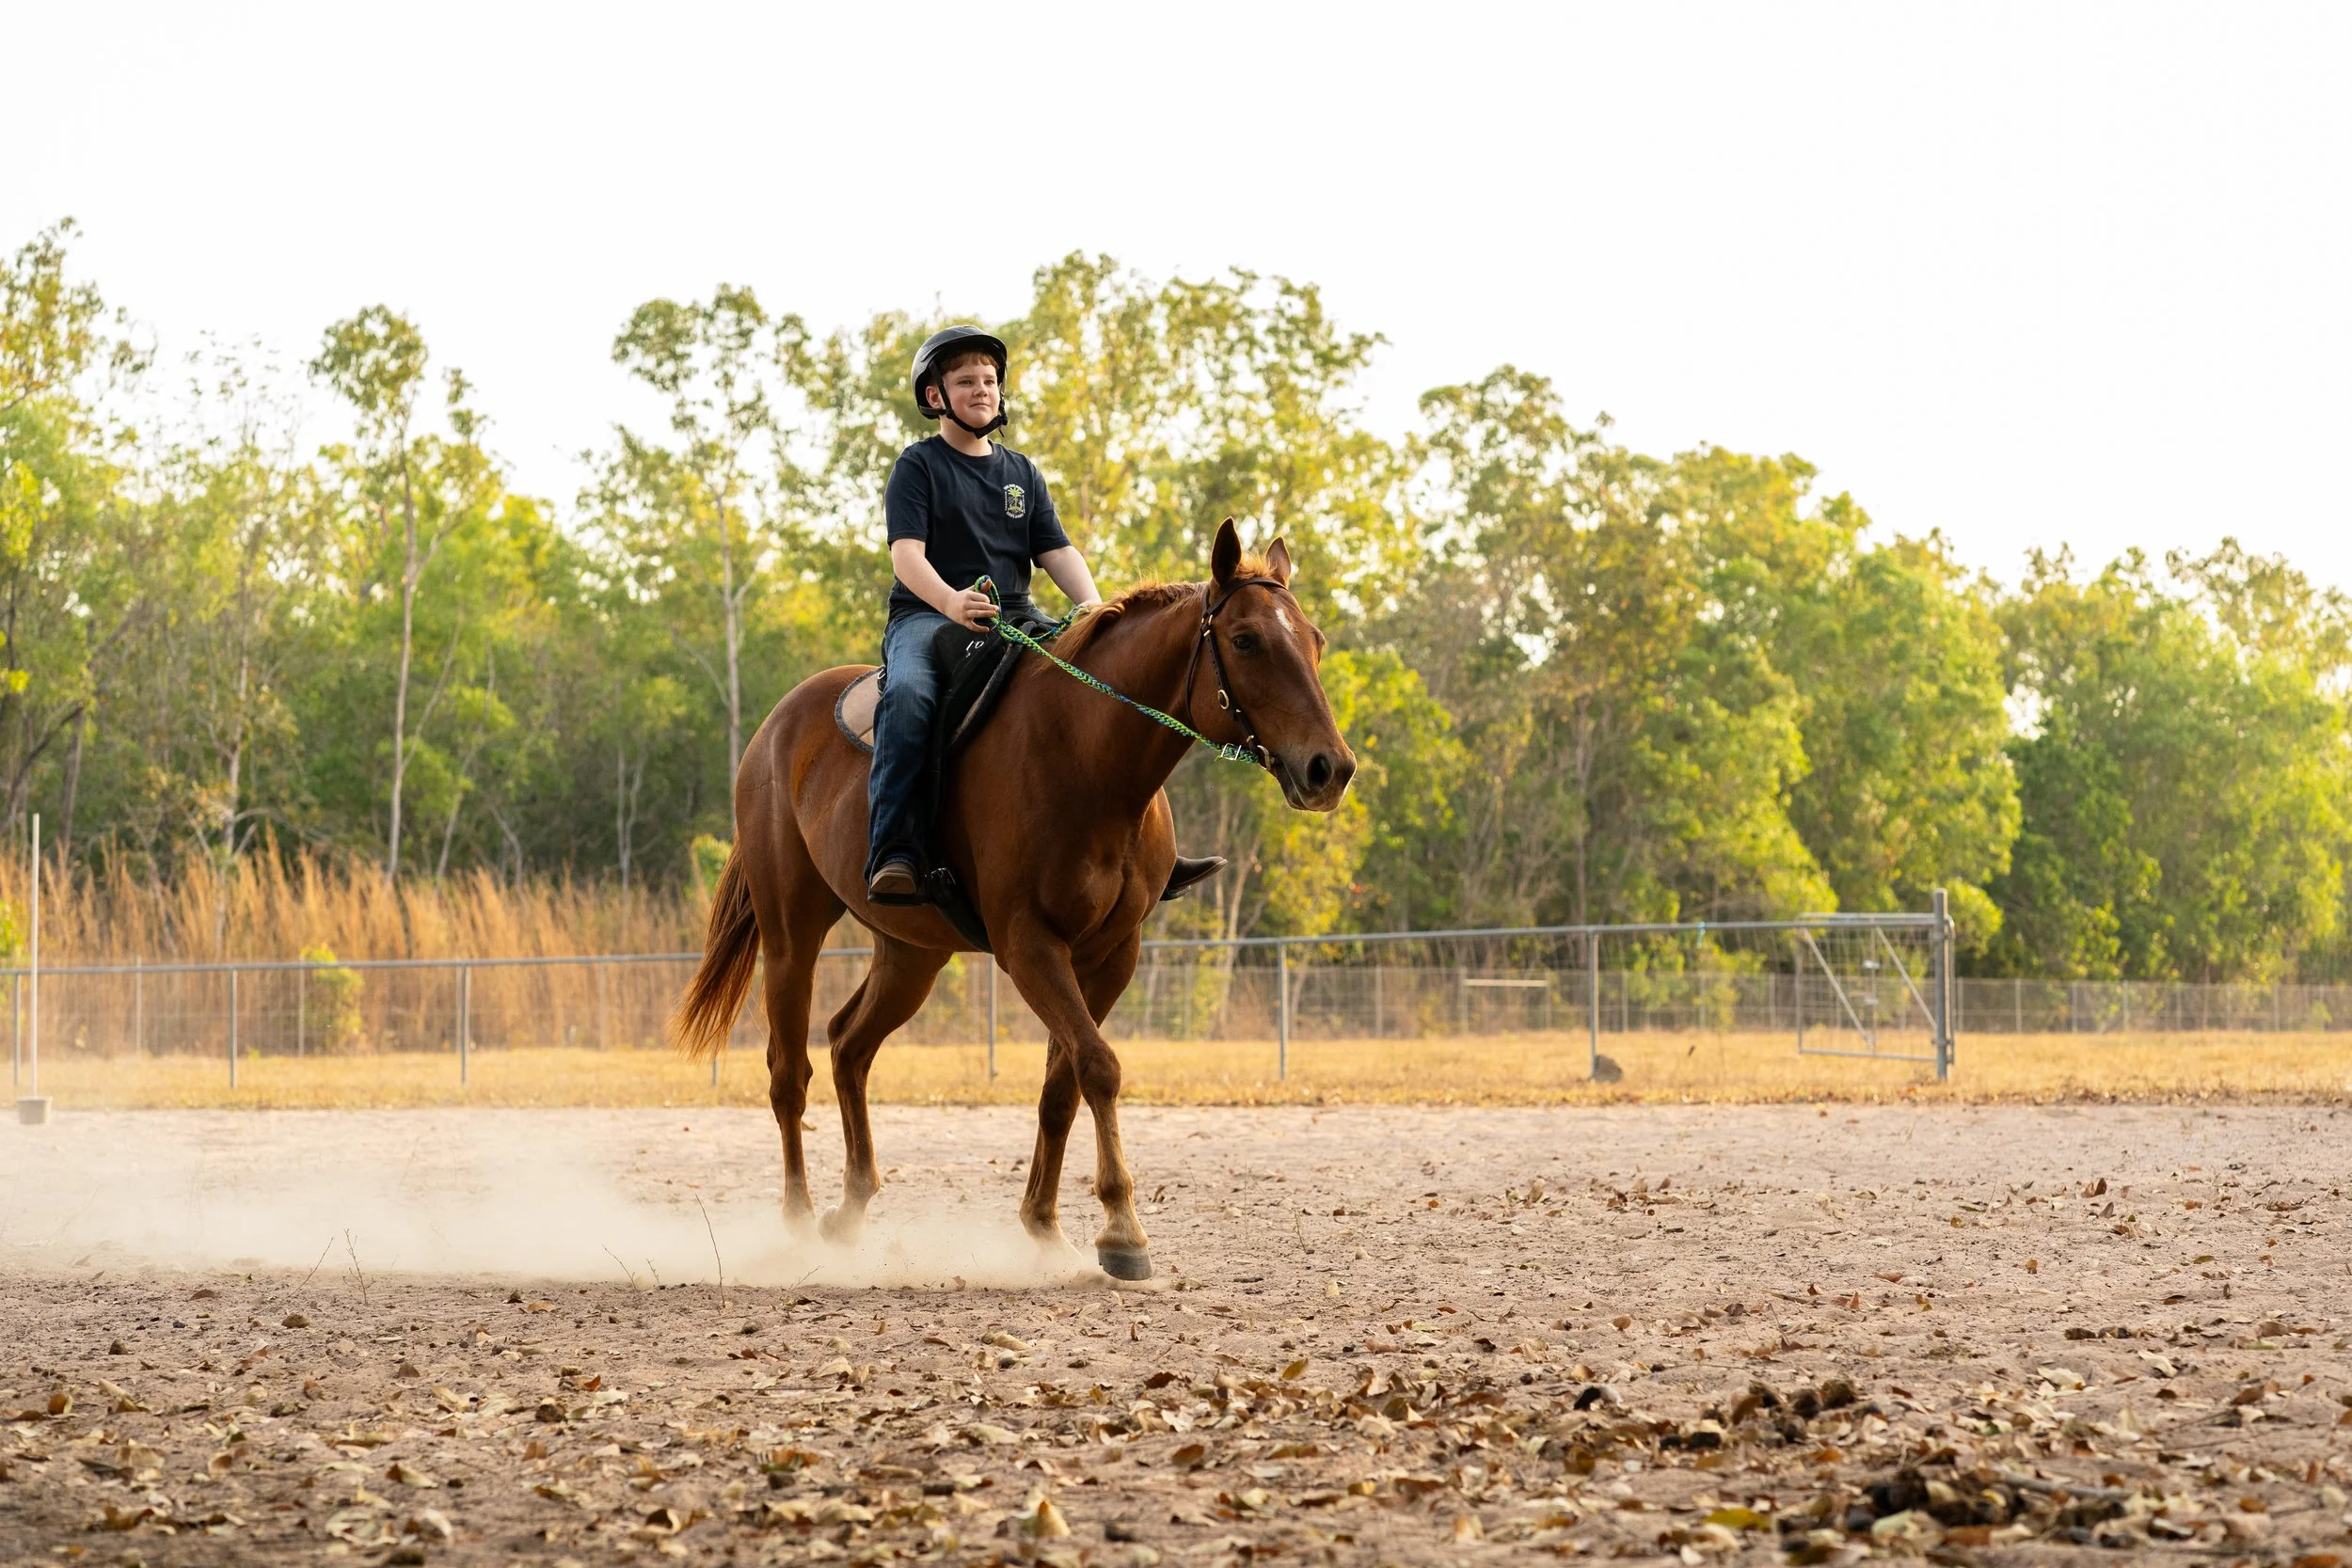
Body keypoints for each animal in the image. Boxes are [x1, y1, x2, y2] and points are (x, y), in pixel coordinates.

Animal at [671, 520, 1355, 1280]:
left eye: (1316, 639)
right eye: (1246, 640)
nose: (1329, 768)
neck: (1087, 756)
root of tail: (773, 730)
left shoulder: (1112, 954)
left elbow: (1065, 1084)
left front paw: (1046, 1226)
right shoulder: (1029, 945)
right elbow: (1099, 1066)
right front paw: (1123, 1231)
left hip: (910, 954)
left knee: (849, 1045)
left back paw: (850, 1210)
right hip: (792, 935)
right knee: (789, 1073)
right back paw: (795, 1223)